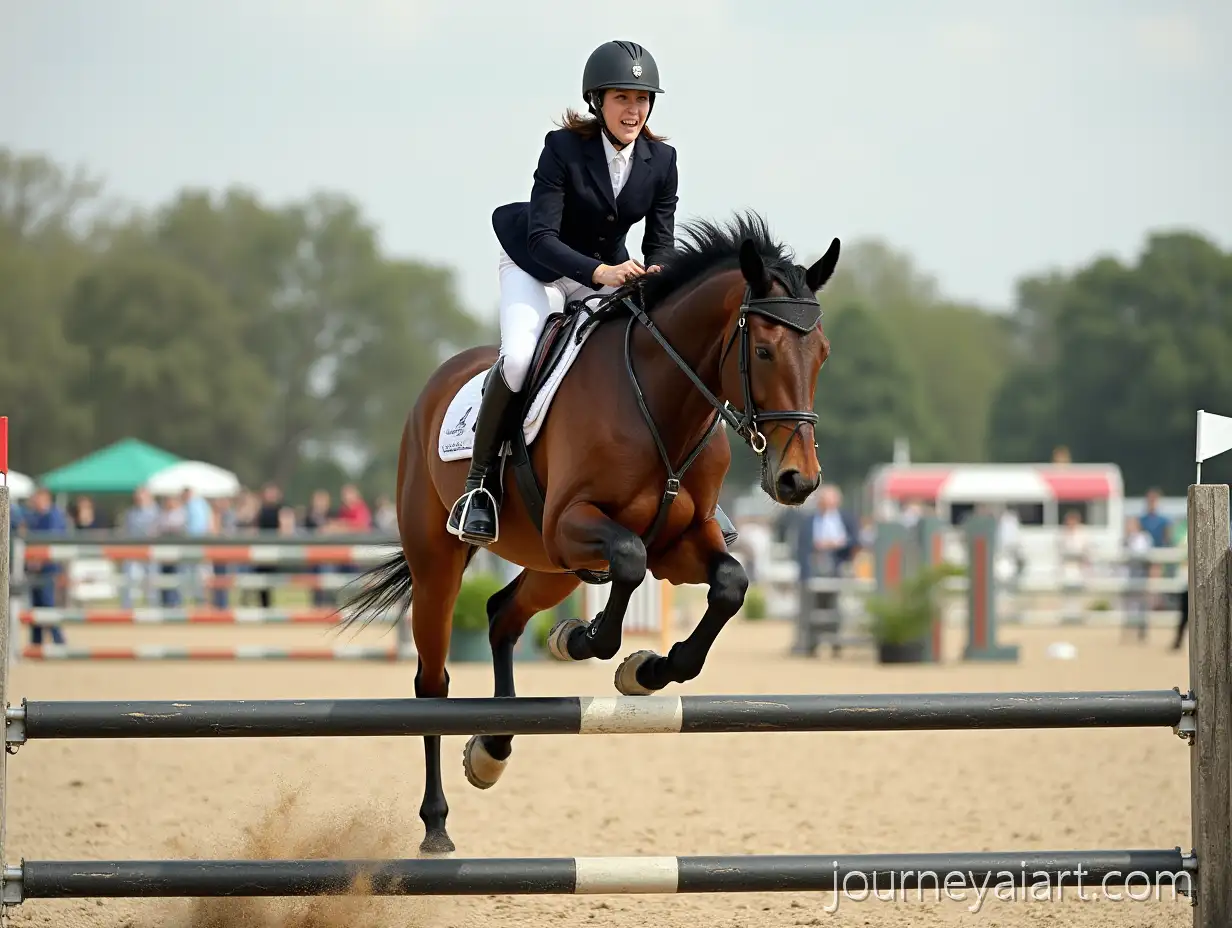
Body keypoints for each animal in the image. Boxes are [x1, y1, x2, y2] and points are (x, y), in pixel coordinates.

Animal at [341, 210, 839, 854]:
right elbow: (627, 560)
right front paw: (585, 638)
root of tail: (438, 383)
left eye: (822, 353)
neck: (663, 400)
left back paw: (493, 749)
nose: (797, 480)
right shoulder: (572, 525)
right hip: (445, 563)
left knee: (503, 615)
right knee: (433, 682)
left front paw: (647, 669)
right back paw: (436, 824)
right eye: (763, 350)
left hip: (551, 568)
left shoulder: (679, 543)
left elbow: (730, 585)